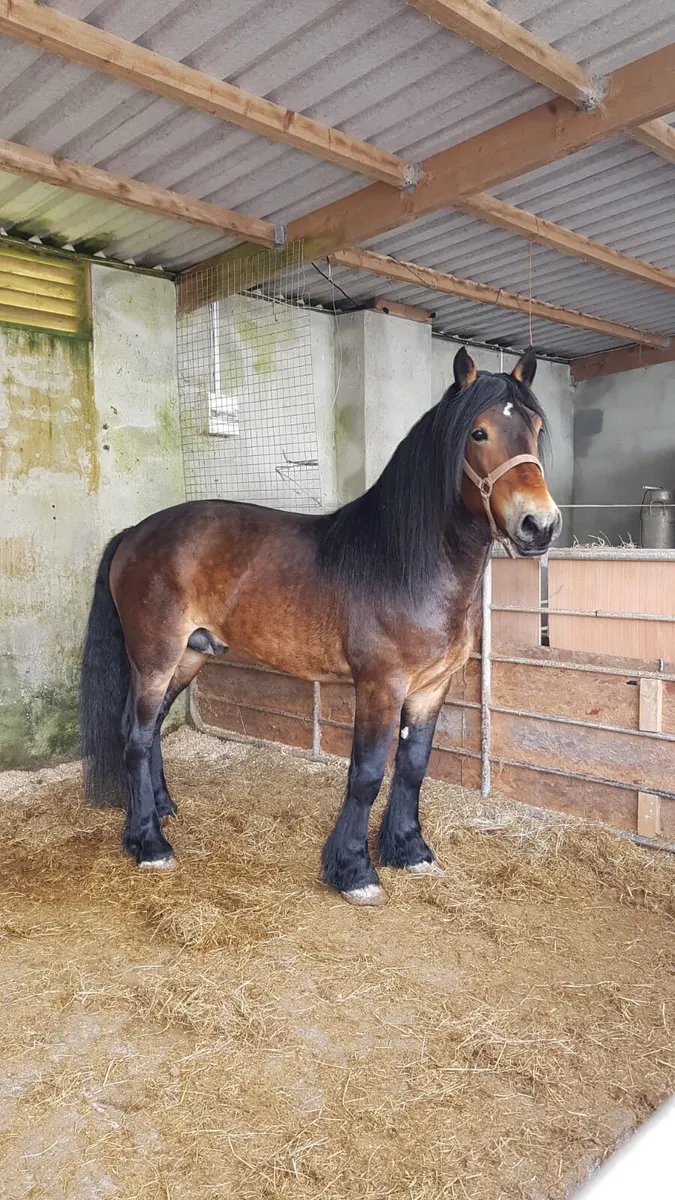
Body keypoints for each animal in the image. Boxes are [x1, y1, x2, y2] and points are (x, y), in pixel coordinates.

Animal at [80, 346, 561, 905]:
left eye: (536, 428)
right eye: (479, 433)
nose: (539, 525)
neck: (402, 560)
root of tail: (136, 532)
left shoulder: (431, 688)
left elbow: (413, 766)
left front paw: (408, 849)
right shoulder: (379, 686)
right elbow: (368, 773)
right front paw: (354, 870)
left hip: (189, 656)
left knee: (152, 728)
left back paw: (160, 808)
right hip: (155, 656)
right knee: (135, 736)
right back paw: (149, 842)